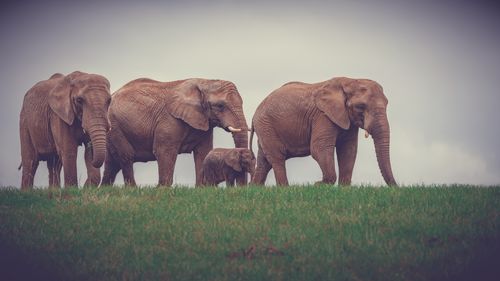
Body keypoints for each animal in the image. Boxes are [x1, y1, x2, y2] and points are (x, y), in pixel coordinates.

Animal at [100, 77, 249, 186]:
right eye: (220, 106)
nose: (241, 187)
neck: (205, 81)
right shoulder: (169, 120)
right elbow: (165, 152)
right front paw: (163, 190)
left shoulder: (204, 123)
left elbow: (203, 152)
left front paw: (201, 189)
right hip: (115, 126)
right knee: (126, 156)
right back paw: (133, 189)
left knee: (112, 164)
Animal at [252, 76, 396, 186]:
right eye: (360, 106)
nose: (395, 188)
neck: (350, 80)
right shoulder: (322, 116)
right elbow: (319, 147)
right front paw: (318, 185)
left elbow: (348, 150)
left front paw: (344, 189)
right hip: (266, 126)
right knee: (277, 157)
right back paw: (284, 189)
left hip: (265, 128)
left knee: (264, 162)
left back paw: (255, 188)